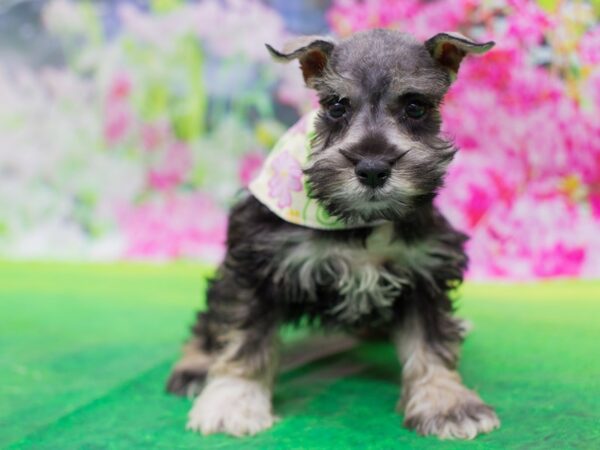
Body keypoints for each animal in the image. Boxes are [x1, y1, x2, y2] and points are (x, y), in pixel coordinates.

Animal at [166, 29, 500, 442]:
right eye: (337, 106)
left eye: (415, 107)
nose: (372, 169)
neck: (359, 222)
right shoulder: (256, 264)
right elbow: (244, 335)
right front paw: (233, 400)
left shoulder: (425, 269)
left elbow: (431, 342)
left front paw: (446, 403)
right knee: (209, 321)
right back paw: (194, 366)